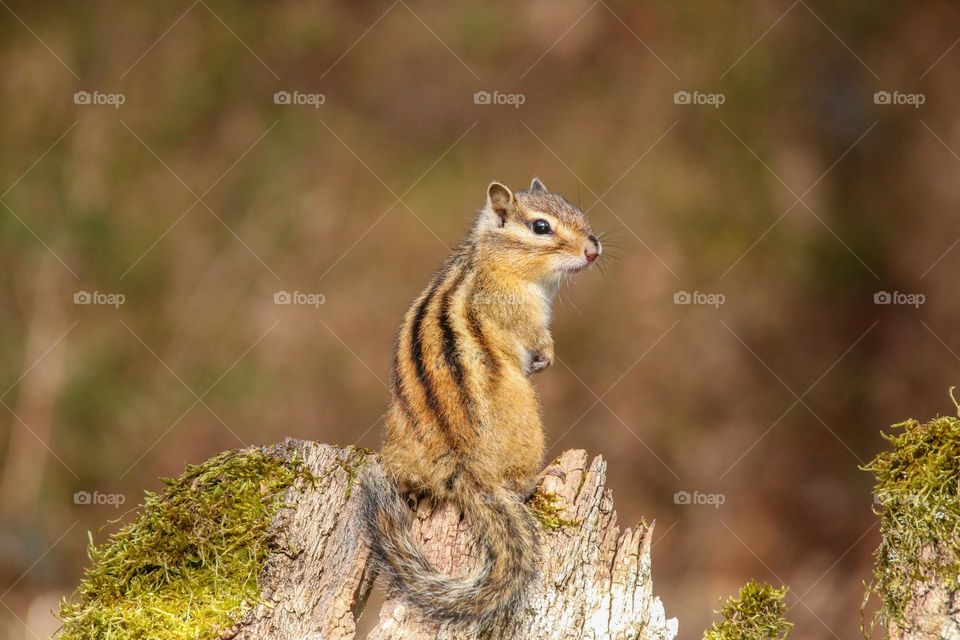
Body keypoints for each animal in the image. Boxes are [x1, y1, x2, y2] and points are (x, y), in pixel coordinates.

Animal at [360, 178, 601, 625]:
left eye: (577, 212)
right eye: (541, 227)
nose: (593, 250)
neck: (490, 258)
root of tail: (464, 466)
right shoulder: (522, 314)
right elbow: (535, 337)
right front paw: (546, 357)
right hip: (527, 422)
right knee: (518, 484)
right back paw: (543, 475)